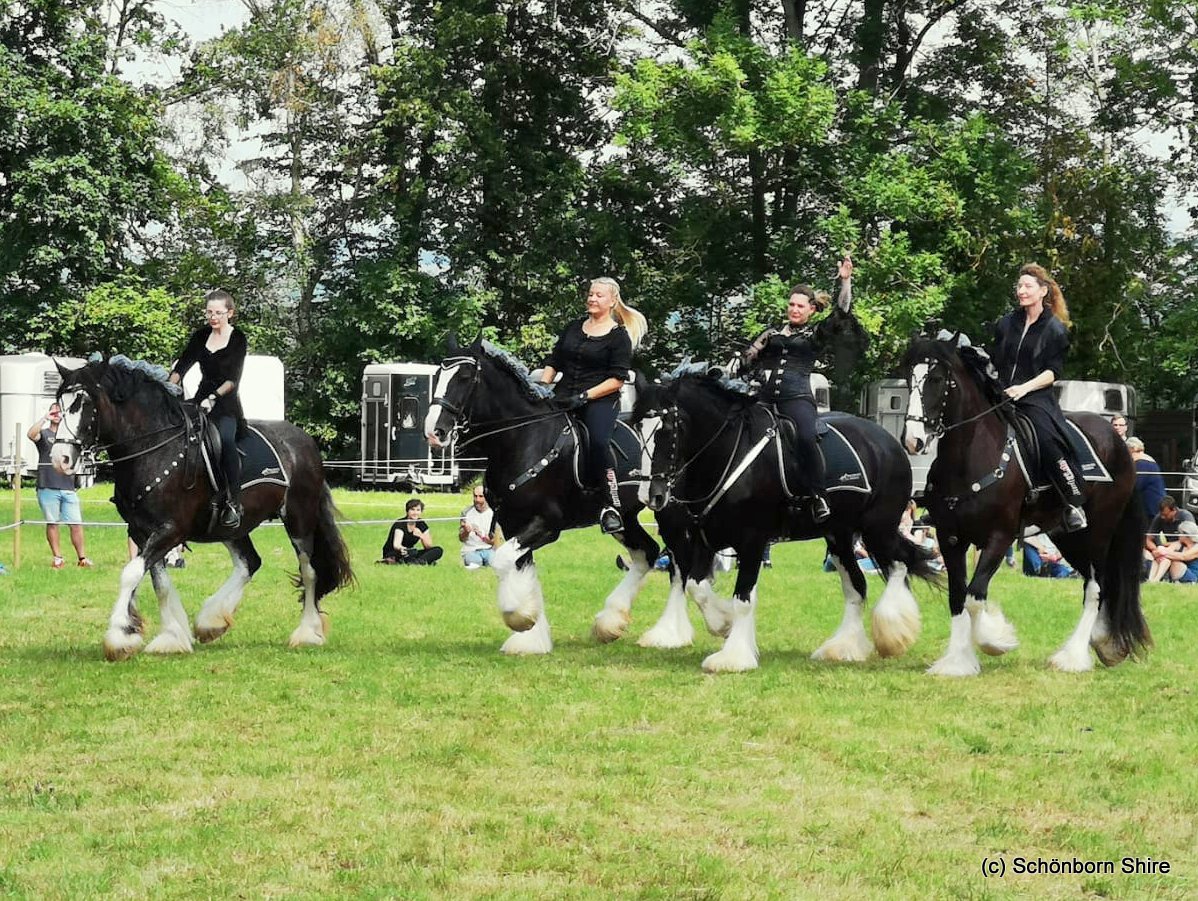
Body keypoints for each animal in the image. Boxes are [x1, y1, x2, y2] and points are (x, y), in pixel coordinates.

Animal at [54, 354, 352, 656]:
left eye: (82, 402)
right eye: (59, 404)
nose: (60, 458)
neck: (155, 449)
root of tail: (305, 442)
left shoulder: (170, 530)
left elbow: (131, 573)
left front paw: (119, 636)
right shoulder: (141, 531)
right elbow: (158, 581)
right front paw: (169, 636)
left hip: (298, 518)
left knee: (309, 570)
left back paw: (307, 632)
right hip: (232, 527)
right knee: (250, 562)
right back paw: (211, 621)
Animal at [424, 337, 666, 656]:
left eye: (464, 377)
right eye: (439, 375)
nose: (434, 432)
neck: (524, 439)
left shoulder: (546, 525)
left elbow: (501, 561)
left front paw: (519, 617)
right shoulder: (515, 525)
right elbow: (523, 569)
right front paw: (532, 639)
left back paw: (672, 635)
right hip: (625, 518)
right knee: (647, 553)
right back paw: (610, 623)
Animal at [637, 361, 934, 670]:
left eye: (668, 428)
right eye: (638, 426)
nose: (651, 496)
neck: (731, 455)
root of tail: (890, 443)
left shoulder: (752, 540)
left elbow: (742, 599)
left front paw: (733, 657)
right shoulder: (704, 538)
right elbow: (697, 586)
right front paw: (724, 625)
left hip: (878, 528)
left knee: (899, 565)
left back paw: (894, 633)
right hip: (839, 536)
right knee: (857, 586)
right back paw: (842, 647)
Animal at [900, 335, 1145, 670]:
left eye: (936, 379)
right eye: (908, 378)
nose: (912, 440)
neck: (973, 457)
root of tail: (1118, 443)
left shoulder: (1000, 537)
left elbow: (975, 597)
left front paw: (996, 640)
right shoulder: (950, 538)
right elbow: (957, 597)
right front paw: (957, 662)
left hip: (1099, 531)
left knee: (1097, 587)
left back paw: (1073, 657)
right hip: (1067, 537)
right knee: (1096, 584)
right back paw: (1104, 644)